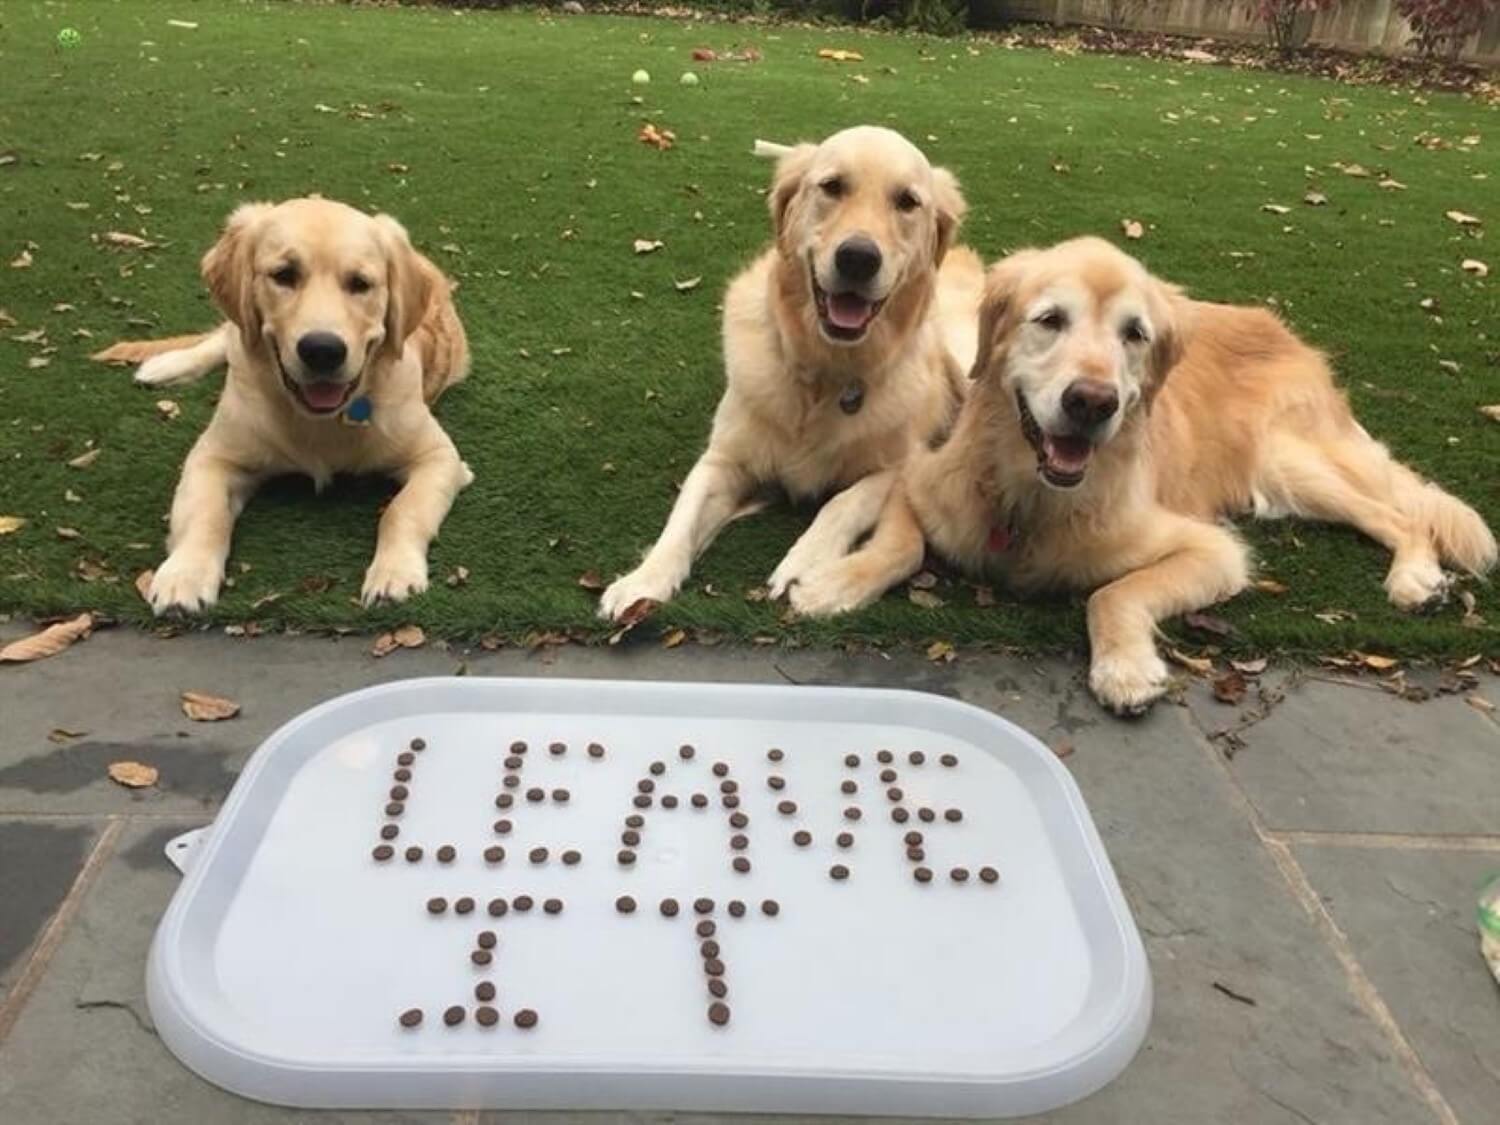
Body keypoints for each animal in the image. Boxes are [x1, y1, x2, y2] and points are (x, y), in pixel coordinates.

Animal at [95, 196, 468, 618]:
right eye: (284, 275)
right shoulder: (213, 456)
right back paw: (165, 365)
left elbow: (401, 510)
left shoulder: (440, 457)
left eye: (360, 283)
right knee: (224, 336)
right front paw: (185, 575)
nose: (322, 350)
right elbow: (205, 512)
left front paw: (394, 573)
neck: (319, 421)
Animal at [597, 126, 984, 621]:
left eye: (907, 201)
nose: (858, 258)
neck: (825, 373)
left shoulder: (901, 464)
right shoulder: (724, 459)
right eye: (832, 186)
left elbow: (843, 501)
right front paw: (643, 580)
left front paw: (806, 563)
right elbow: (682, 517)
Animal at [792, 238, 1494, 714]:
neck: (1031, 499)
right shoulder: (924, 482)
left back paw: (1416, 577)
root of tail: (1276, 325)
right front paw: (832, 584)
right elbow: (900, 545)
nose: (1091, 403)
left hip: (1288, 464)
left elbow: (1113, 594)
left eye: (1134, 334)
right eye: (1050, 320)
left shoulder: (1212, 550)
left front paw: (1125, 669)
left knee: (1401, 511)